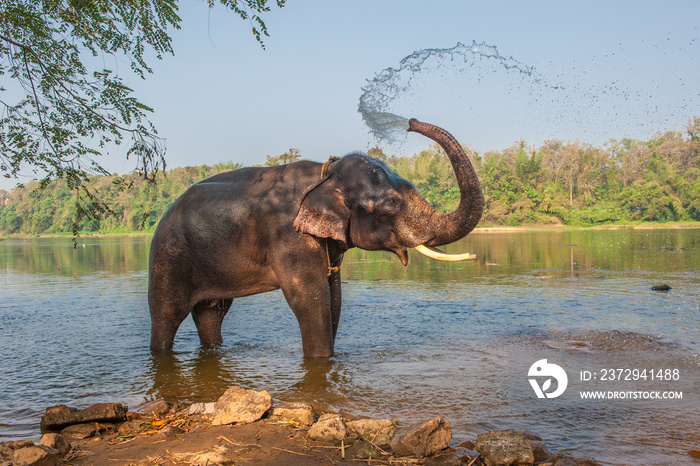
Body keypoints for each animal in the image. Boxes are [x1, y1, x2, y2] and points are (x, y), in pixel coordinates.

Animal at [149, 119, 482, 356]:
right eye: (391, 202)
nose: (411, 122)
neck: (326, 174)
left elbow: (334, 298)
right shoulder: (289, 235)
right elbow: (310, 300)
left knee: (211, 314)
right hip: (168, 256)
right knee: (166, 315)